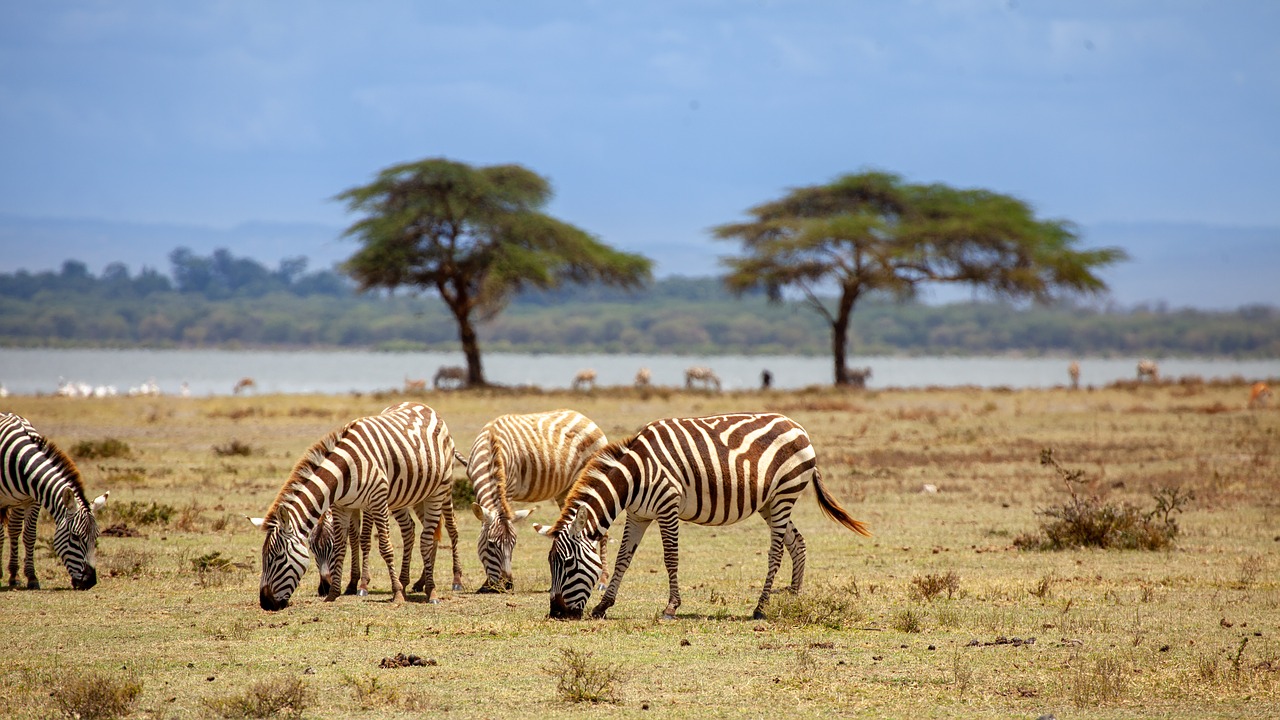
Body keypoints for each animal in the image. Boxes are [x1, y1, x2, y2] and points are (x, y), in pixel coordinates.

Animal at [0, 412, 108, 586]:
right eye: (75, 536)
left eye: (96, 537)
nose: (90, 581)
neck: (21, 462)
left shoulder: (33, 499)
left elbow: (29, 535)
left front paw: (31, 577)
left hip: (18, 502)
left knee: (14, 529)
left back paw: (14, 576)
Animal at [257, 399, 458, 607]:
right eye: (312, 549)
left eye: (277, 558)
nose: (265, 603)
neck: (344, 471)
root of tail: (421, 404)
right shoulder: (342, 507)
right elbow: (343, 545)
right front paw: (334, 593)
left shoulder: (375, 501)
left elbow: (382, 545)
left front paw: (393, 593)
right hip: (406, 496)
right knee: (412, 531)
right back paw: (409, 582)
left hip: (439, 491)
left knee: (430, 537)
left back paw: (433, 590)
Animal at [471, 407, 609, 591]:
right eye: (491, 544)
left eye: (514, 544)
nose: (507, 585)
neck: (491, 446)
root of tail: (583, 417)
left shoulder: (509, 487)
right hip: (565, 490)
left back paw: (603, 581)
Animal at [535, 412, 875, 620]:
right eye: (551, 563)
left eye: (568, 563)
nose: (557, 613)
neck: (634, 477)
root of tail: (799, 427)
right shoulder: (638, 515)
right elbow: (622, 559)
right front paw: (604, 605)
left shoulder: (667, 508)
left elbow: (670, 558)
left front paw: (671, 607)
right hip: (770, 502)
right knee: (798, 543)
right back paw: (793, 596)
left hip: (784, 495)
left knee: (777, 551)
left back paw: (760, 607)